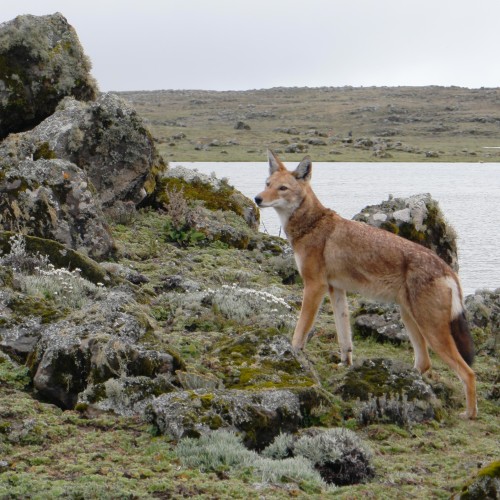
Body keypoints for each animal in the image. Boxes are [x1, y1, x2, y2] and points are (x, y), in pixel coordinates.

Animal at [256, 150, 478, 420]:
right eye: (267, 184)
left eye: (282, 188)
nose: (257, 199)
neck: (312, 225)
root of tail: (448, 270)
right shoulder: (335, 289)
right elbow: (344, 338)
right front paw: (344, 365)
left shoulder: (314, 287)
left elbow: (300, 331)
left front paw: (291, 354)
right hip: (410, 319)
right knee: (424, 363)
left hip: (431, 331)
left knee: (468, 373)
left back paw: (469, 414)